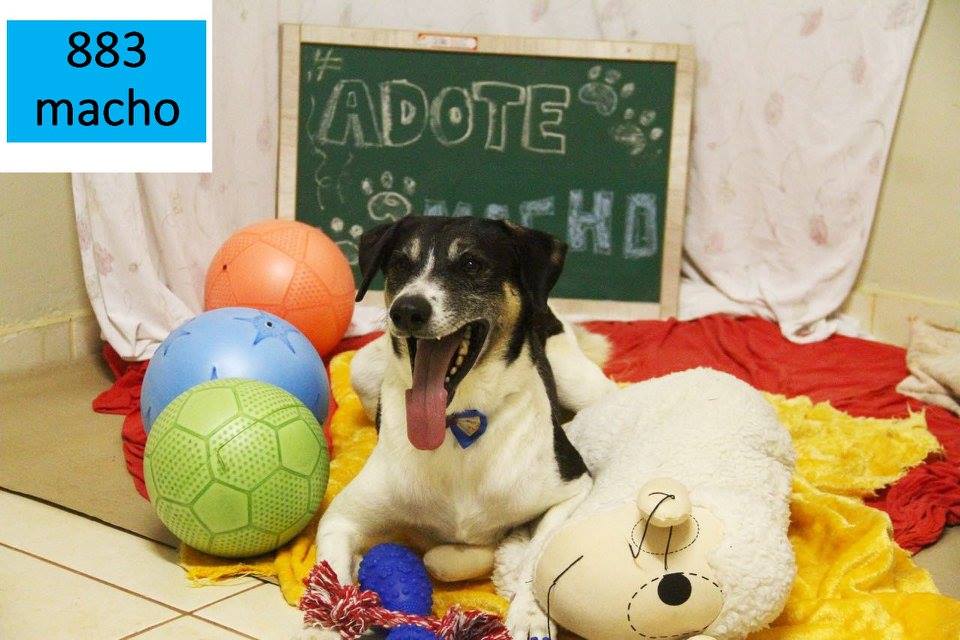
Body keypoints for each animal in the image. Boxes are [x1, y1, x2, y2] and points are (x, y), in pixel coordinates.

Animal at [309, 216, 616, 638]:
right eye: (401, 263)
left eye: (471, 264)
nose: (407, 310)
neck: (458, 424)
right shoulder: (342, 517)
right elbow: (330, 576)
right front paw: (327, 619)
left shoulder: (571, 488)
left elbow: (538, 557)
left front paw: (530, 614)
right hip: (363, 370)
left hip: (582, 384)